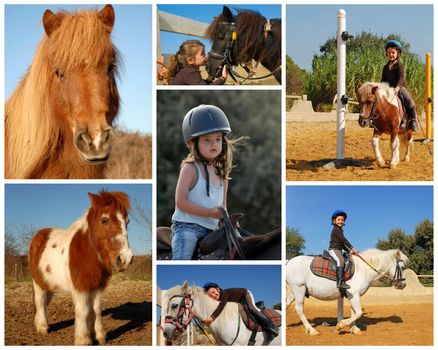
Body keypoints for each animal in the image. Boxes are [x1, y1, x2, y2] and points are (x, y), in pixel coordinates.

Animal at [28, 190, 133, 346]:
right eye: (105, 220)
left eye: (127, 222)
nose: (125, 259)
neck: (87, 252)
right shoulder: (80, 287)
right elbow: (83, 310)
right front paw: (83, 339)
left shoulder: (98, 286)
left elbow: (96, 310)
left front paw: (99, 336)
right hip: (38, 282)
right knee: (40, 302)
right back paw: (42, 328)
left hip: (50, 284)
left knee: (45, 303)